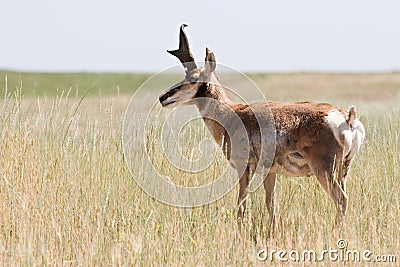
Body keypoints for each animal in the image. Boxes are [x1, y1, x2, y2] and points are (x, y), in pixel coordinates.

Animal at [159, 24, 366, 227]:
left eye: (192, 79)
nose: (162, 98)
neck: (232, 113)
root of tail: (347, 117)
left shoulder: (243, 168)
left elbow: (242, 204)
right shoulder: (270, 172)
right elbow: (270, 203)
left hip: (324, 170)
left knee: (341, 199)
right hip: (343, 170)